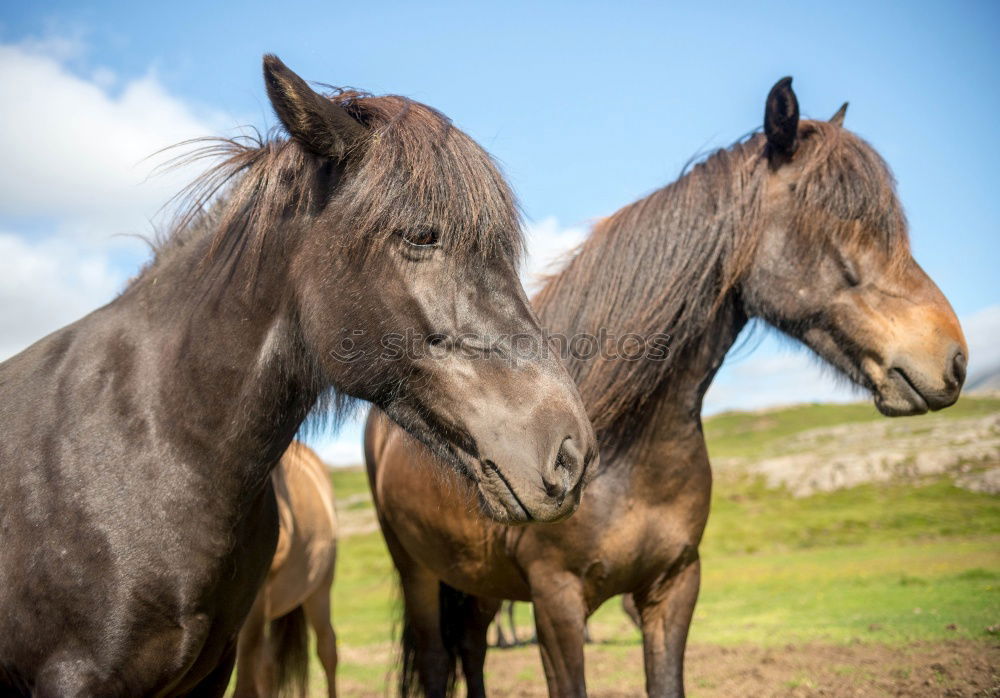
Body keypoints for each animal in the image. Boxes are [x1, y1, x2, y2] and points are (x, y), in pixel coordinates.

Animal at [368, 77, 968, 696]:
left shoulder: (673, 588)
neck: (627, 454)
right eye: (837, 216)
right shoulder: (556, 602)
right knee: (437, 658)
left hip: (475, 579)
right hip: (418, 571)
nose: (952, 358)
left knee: (472, 648)